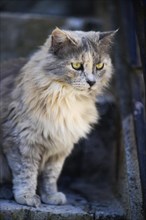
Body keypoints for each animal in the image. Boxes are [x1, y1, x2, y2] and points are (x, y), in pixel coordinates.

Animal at [0, 27, 116, 206]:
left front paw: (51, 197)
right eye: (76, 65)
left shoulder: (60, 147)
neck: (66, 100)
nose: (91, 82)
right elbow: (26, 173)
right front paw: (27, 197)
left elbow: (50, 176)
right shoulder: (21, 141)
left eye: (99, 65)